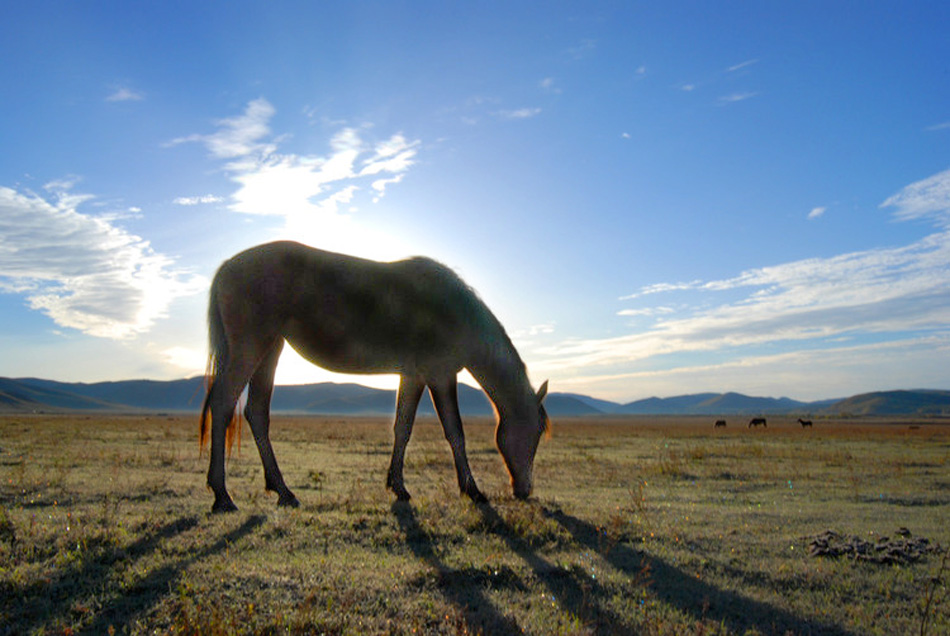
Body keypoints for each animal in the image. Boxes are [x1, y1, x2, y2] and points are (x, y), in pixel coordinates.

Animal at [199, 241, 552, 516]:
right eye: (536, 432)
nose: (525, 490)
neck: (453, 310)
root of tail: (227, 266)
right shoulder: (440, 375)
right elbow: (455, 433)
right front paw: (473, 491)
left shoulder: (413, 375)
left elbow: (403, 427)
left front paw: (398, 487)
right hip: (251, 349)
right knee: (223, 404)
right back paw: (223, 496)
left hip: (270, 350)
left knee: (257, 413)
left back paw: (282, 491)